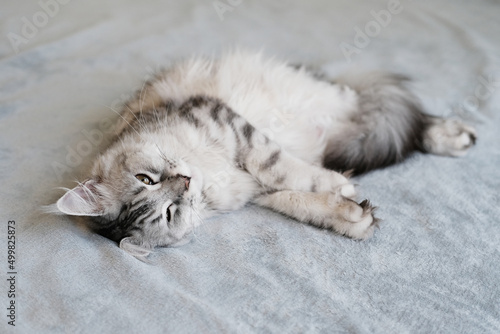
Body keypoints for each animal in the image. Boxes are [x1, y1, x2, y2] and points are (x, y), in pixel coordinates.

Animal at [54, 52, 476, 260]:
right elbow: (300, 200)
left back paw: (455, 136)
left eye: (147, 179)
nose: (186, 182)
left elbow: (282, 167)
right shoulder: (256, 190)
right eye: (170, 213)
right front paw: (351, 215)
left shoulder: (233, 127)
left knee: (401, 117)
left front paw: (336, 184)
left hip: (336, 100)